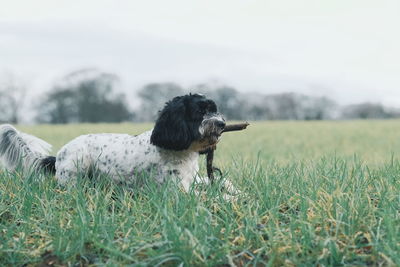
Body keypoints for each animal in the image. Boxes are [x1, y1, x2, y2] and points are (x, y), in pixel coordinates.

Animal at [0, 94, 238, 199]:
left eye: (214, 109)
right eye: (200, 112)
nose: (222, 123)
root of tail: (58, 155)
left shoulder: (191, 180)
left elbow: (219, 184)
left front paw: (233, 191)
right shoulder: (175, 191)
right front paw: (230, 198)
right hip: (78, 165)